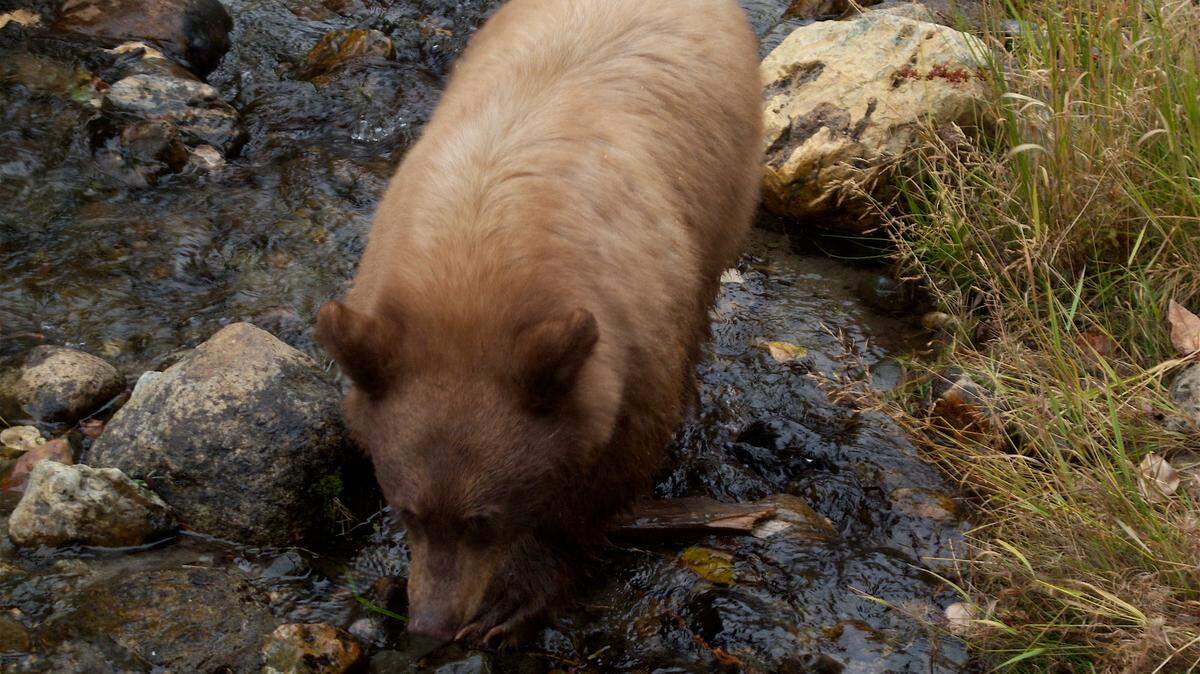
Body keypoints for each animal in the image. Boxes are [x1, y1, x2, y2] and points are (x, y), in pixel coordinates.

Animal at [316, 0, 762, 645]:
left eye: (483, 520)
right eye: (406, 510)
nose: (429, 625)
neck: (471, 273)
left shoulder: (630, 337)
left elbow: (607, 473)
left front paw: (514, 597)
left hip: (728, 187)